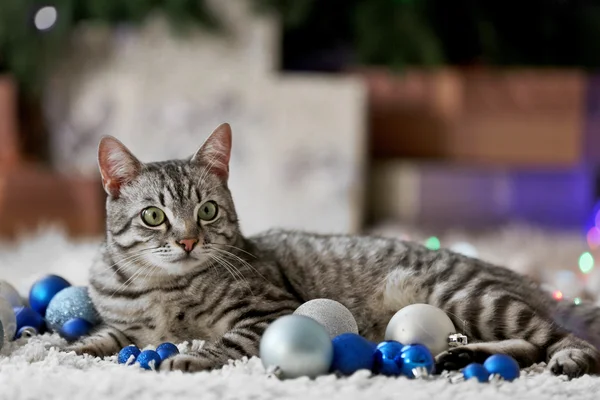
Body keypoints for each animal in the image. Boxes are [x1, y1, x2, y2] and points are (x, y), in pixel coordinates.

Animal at [68, 122, 600, 378]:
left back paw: (570, 359)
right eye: (154, 216)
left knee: (555, 337)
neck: (158, 288)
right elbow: (104, 336)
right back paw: (460, 357)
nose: (187, 239)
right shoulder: (125, 326)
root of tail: (521, 279)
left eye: (208, 211)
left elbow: (228, 341)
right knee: (528, 344)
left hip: (469, 298)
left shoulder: (270, 311)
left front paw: (190, 356)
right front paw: (66, 347)